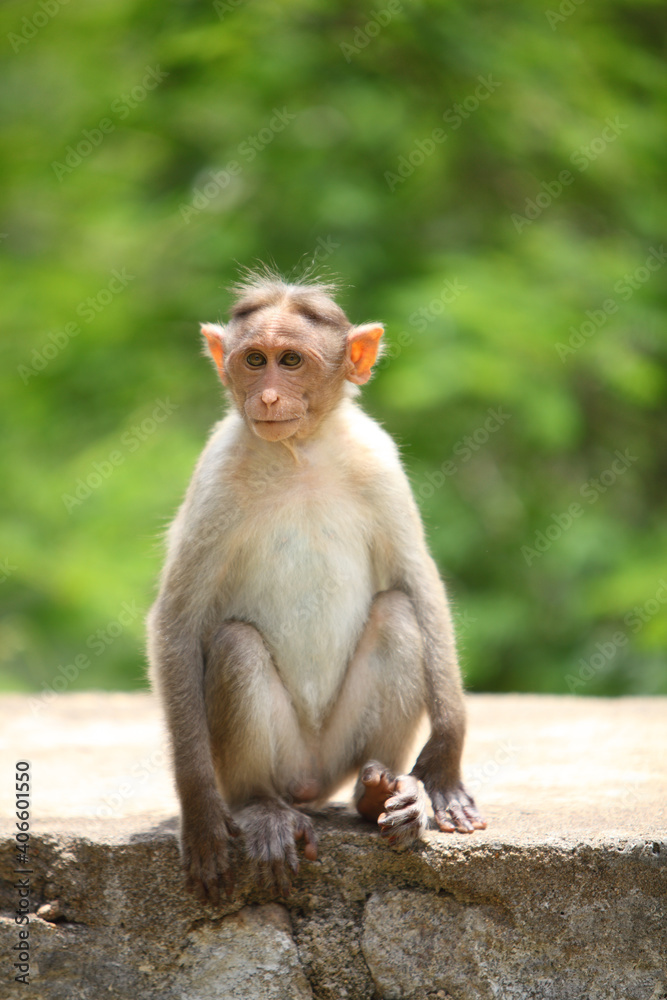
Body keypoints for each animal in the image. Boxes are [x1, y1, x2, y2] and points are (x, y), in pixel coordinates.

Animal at [149, 270, 488, 904]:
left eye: (290, 360)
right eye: (254, 360)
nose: (267, 397)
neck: (298, 453)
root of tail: (308, 782)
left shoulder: (380, 461)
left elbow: (417, 583)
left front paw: (444, 763)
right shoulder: (214, 475)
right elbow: (176, 624)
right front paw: (200, 814)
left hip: (336, 753)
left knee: (397, 614)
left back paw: (379, 795)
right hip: (278, 758)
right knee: (235, 645)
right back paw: (261, 808)